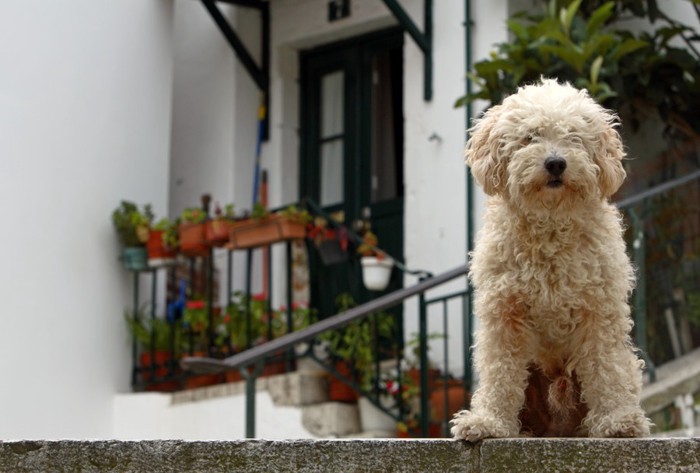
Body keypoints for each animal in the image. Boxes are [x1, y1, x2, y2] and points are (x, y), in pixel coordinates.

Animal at [452, 78, 652, 438]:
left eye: (573, 136)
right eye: (530, 137)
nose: (556, 163)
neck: (550, 229)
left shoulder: (600, 311)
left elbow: (606, 367)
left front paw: (617, 420)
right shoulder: (503, 314)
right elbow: (499, 373)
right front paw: (488, 421)